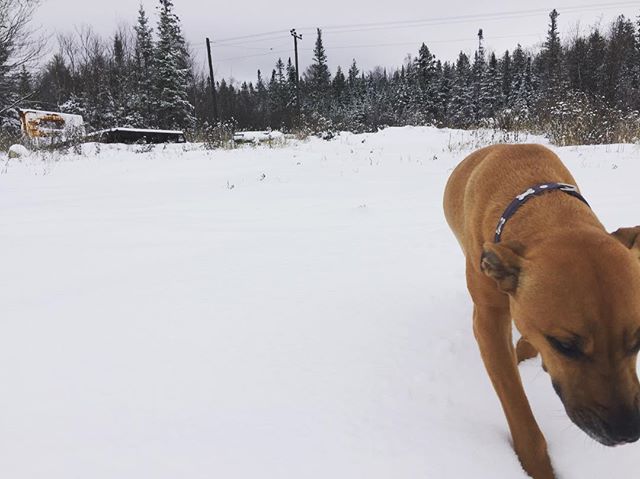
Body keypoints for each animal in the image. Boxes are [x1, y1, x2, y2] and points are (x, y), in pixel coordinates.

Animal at [442, 144, 640, 478]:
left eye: (638, 341)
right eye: (564, 346)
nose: (627, 430)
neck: (547, 209)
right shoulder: (488, 320)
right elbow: (517, 407)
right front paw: (538, 467)